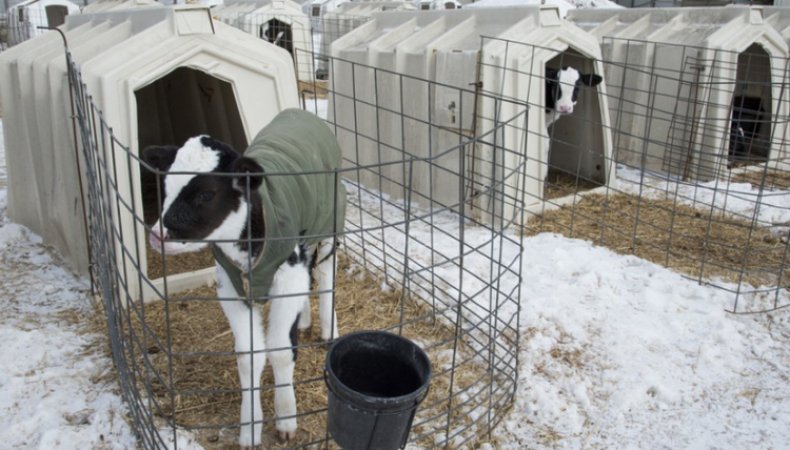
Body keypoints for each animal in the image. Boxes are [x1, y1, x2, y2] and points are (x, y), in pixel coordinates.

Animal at [145, 109, 346, 446]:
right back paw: (304, 320)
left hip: (331, 221)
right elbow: (248, 357)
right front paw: (250, 427)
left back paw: (328, 329)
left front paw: (286, 418)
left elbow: (280, 351)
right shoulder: (231, 286)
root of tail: (300, 112)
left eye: (206, 194)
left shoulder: (288, 275)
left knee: (324, 272)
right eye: (166, 187)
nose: (158, 235)